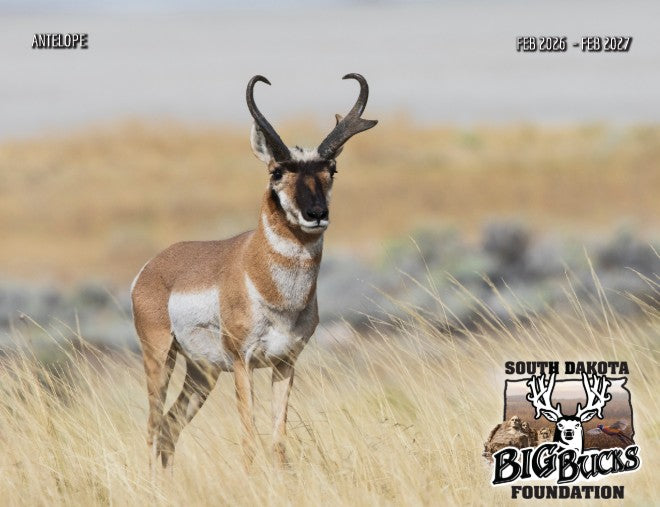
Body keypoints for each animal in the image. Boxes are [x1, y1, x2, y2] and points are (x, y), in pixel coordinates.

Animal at [131, 74, 377, 471]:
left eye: (331, 170)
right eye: (277, 171)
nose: (316, 213)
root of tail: (152, 266)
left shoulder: (285, 364)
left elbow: (278, 440)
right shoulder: (242, 363)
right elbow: (249, 439)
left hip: (203, 373)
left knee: (169, 426)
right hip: (160, 356)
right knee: (153, 426)